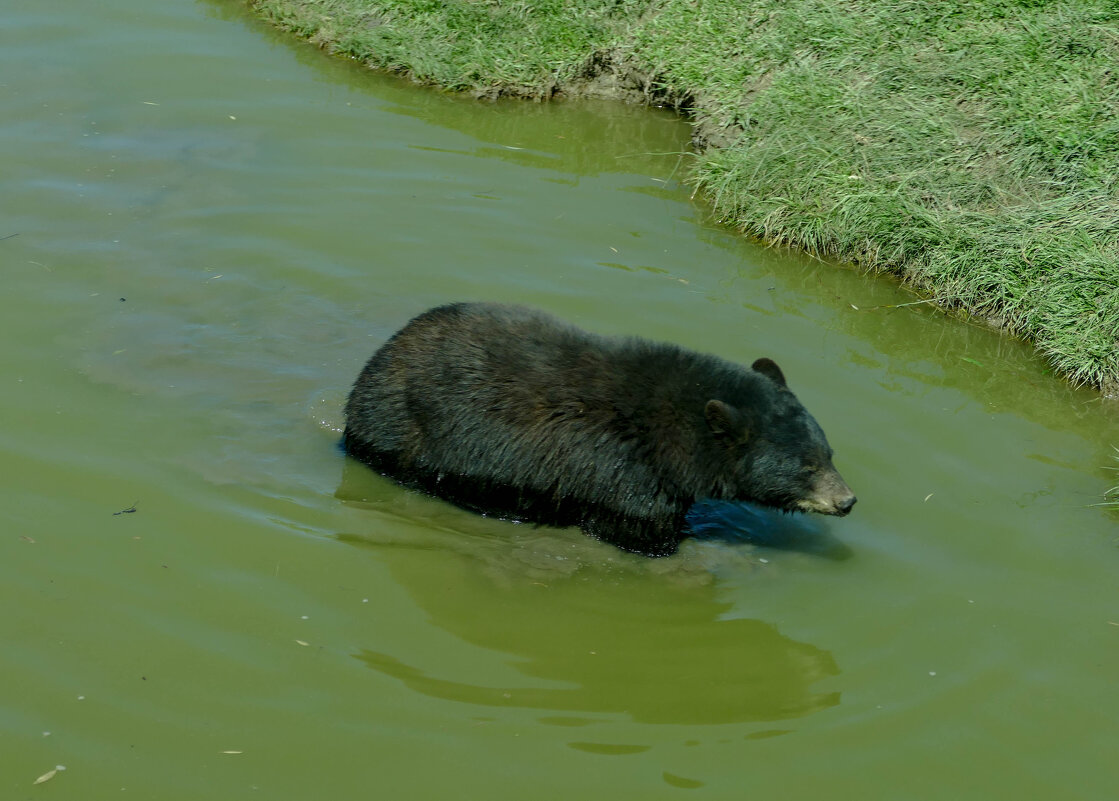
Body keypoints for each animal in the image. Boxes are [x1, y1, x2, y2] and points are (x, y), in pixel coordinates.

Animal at [342, 302, 854, 557]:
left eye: (828, 454)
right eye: (807, 466)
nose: (847, 500)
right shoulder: (624, 475)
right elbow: (642, 536)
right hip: (401, 426)